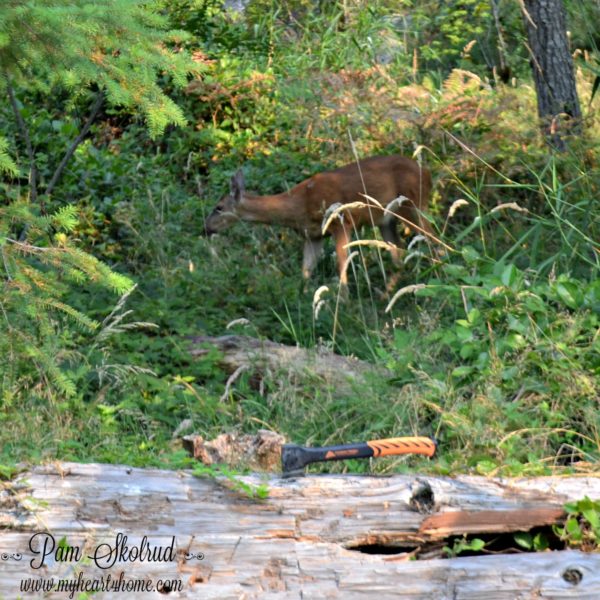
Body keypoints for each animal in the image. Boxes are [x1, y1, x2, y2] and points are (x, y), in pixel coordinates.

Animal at [204, 154, 434, 288]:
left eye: (219, 207)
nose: (205, 228)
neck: (298, 204)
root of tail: (427, 172)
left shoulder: (341, 223)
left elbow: (342, 267)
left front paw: (343, 304)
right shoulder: (312, 236)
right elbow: (306, 271)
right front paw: (306, 298)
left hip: (412, 205)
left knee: (431, 238)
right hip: (387, 221)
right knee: (399, 253)